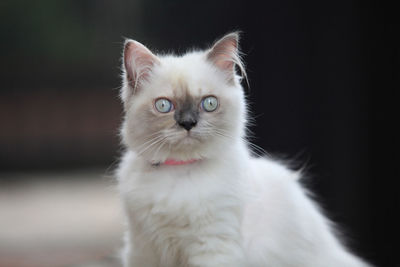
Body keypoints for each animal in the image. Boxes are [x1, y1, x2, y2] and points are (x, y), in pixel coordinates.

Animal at [116, 32, 372, 266]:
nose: (188, 123)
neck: (179, 171)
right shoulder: (142, 250)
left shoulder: (212, 247)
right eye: (163, 106)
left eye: (209, 103)